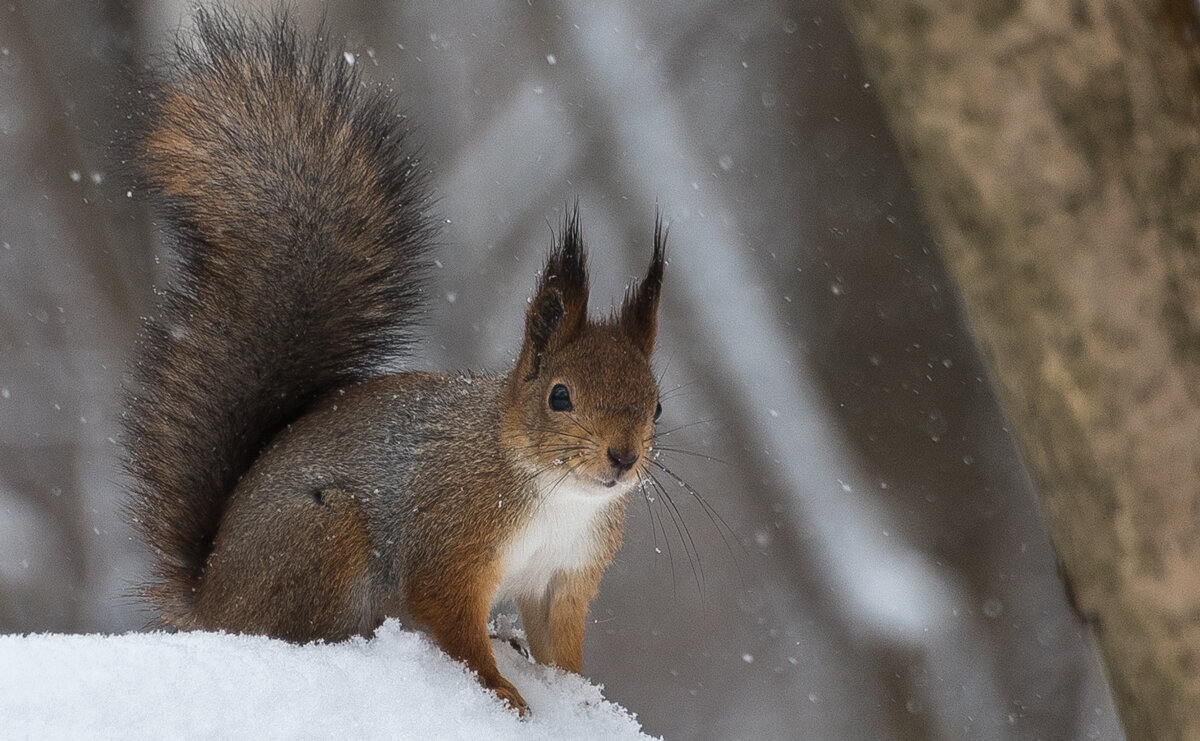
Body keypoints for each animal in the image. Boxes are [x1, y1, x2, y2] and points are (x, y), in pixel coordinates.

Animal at [124, 8, 667, 714]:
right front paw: (501, 690)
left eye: (658, 404)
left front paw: (579, 698)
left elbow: (560, 646)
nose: (623, 458)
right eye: (560, 396)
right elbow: (450, 620)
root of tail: (212, 601)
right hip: (328, 533)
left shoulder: (565, 578)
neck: (555, 493)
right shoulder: (451, 539)